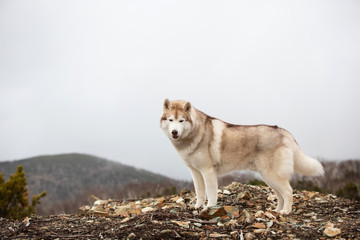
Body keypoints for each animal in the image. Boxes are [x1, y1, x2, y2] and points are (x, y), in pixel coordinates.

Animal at [160, 98, 324, 215]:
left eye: (181, 120)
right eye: (170, 120)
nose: (174, 132)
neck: (195, 134)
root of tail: (281, 131)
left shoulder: (208, 171)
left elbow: (211, 194)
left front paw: (209, 208)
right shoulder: (195, 172)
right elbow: (200, 193)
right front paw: (197, 207)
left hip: (272, 176)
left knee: (289, 192)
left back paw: (285, 211)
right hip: (269, 178)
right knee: (280, 195)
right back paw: (276, 210)